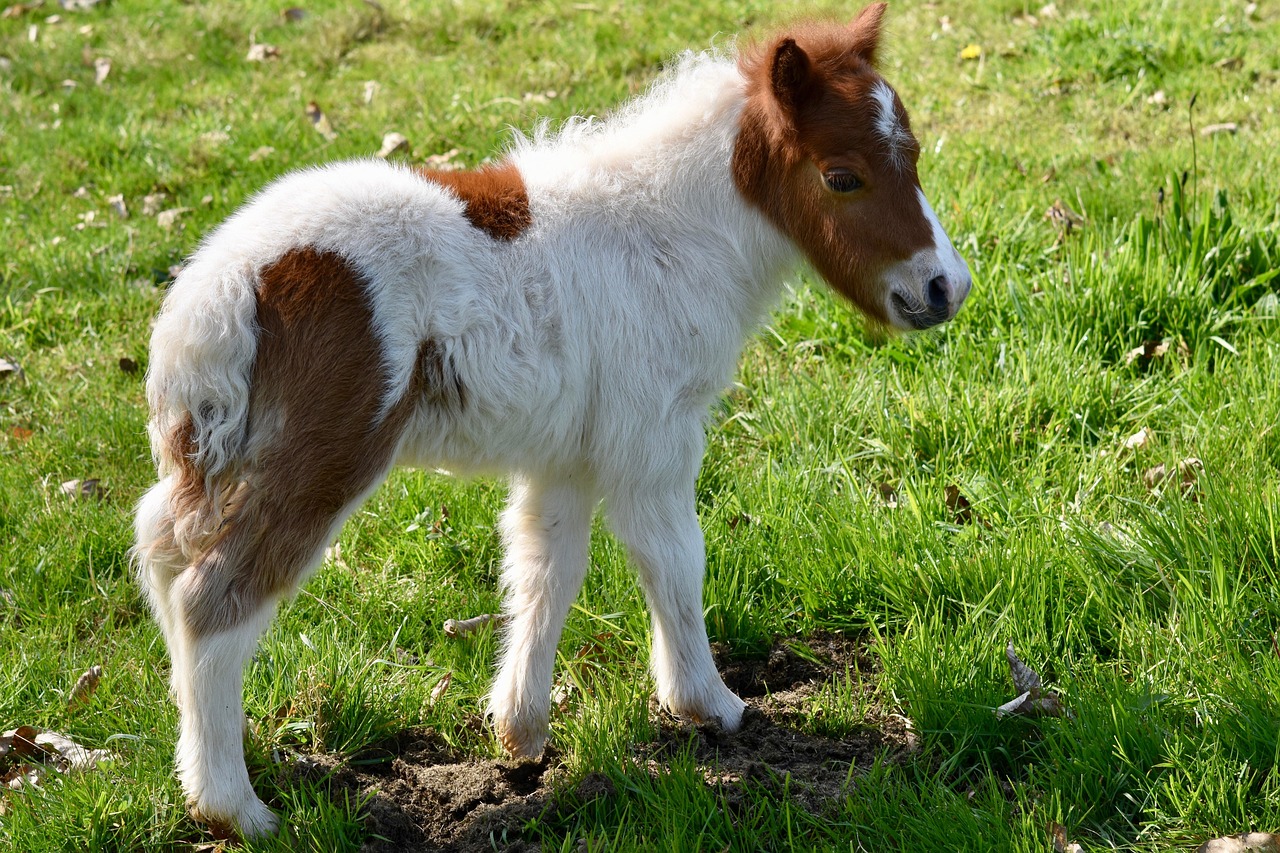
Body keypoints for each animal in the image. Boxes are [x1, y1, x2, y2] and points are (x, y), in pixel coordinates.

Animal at [133, 3, 971, 836]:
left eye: (915, 155)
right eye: (841, 176)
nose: (945, 288)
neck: (667, 233)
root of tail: (224, 290)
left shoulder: (564, 455)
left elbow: (547, 569)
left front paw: (521, 733)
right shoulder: (653, 436)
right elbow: (674, 557)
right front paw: (709, 705)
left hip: (214, 457)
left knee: (164, 553)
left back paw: (220, 761)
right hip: (321, 460)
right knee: (214, 597)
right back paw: (235, 808)